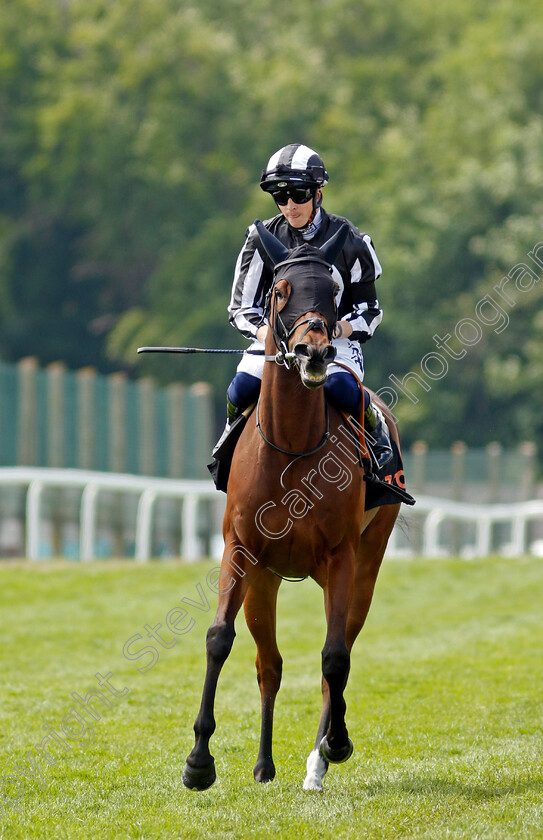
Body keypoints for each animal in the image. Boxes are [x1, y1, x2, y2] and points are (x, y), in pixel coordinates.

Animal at [183, 220, 404, 792]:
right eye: (279, 291)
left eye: (331, 292)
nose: (315, 351)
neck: (291, 445)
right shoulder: (240, 549)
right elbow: (219, 639)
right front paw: (198, 761)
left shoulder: (341, 556)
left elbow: (334, 657)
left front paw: (336, 745)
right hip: (266, 578)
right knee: (270, 664)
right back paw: (264, 764)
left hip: (365, 563)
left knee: (339, 654)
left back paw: (319, 760)